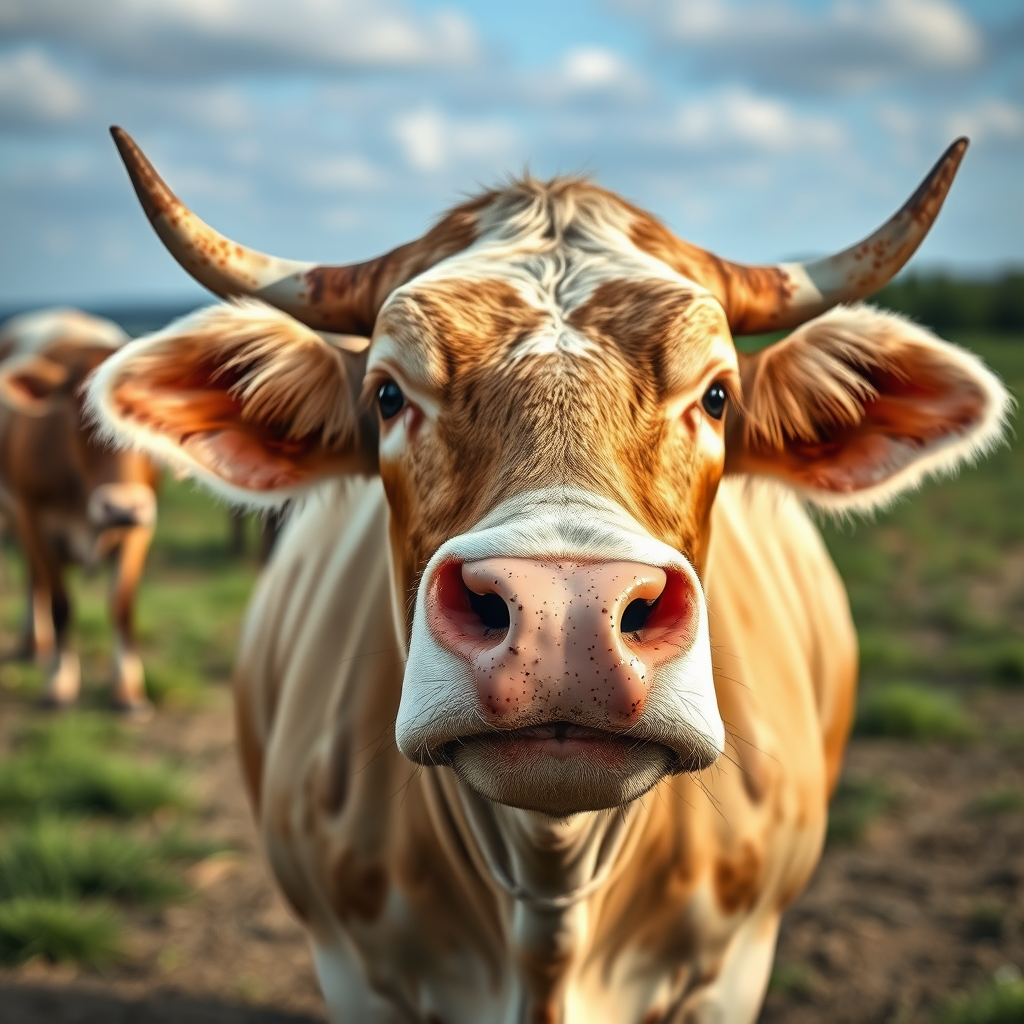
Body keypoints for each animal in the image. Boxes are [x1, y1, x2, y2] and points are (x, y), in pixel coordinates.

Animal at [0, 308, 159, 711]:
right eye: (80, 409)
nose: (120, 507)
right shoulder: (36, 519)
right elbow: (61, 603)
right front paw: (60, 681)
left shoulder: (141, 525)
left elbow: (121, 605)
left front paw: (128, 688)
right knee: (35, 578)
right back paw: (34, 643)